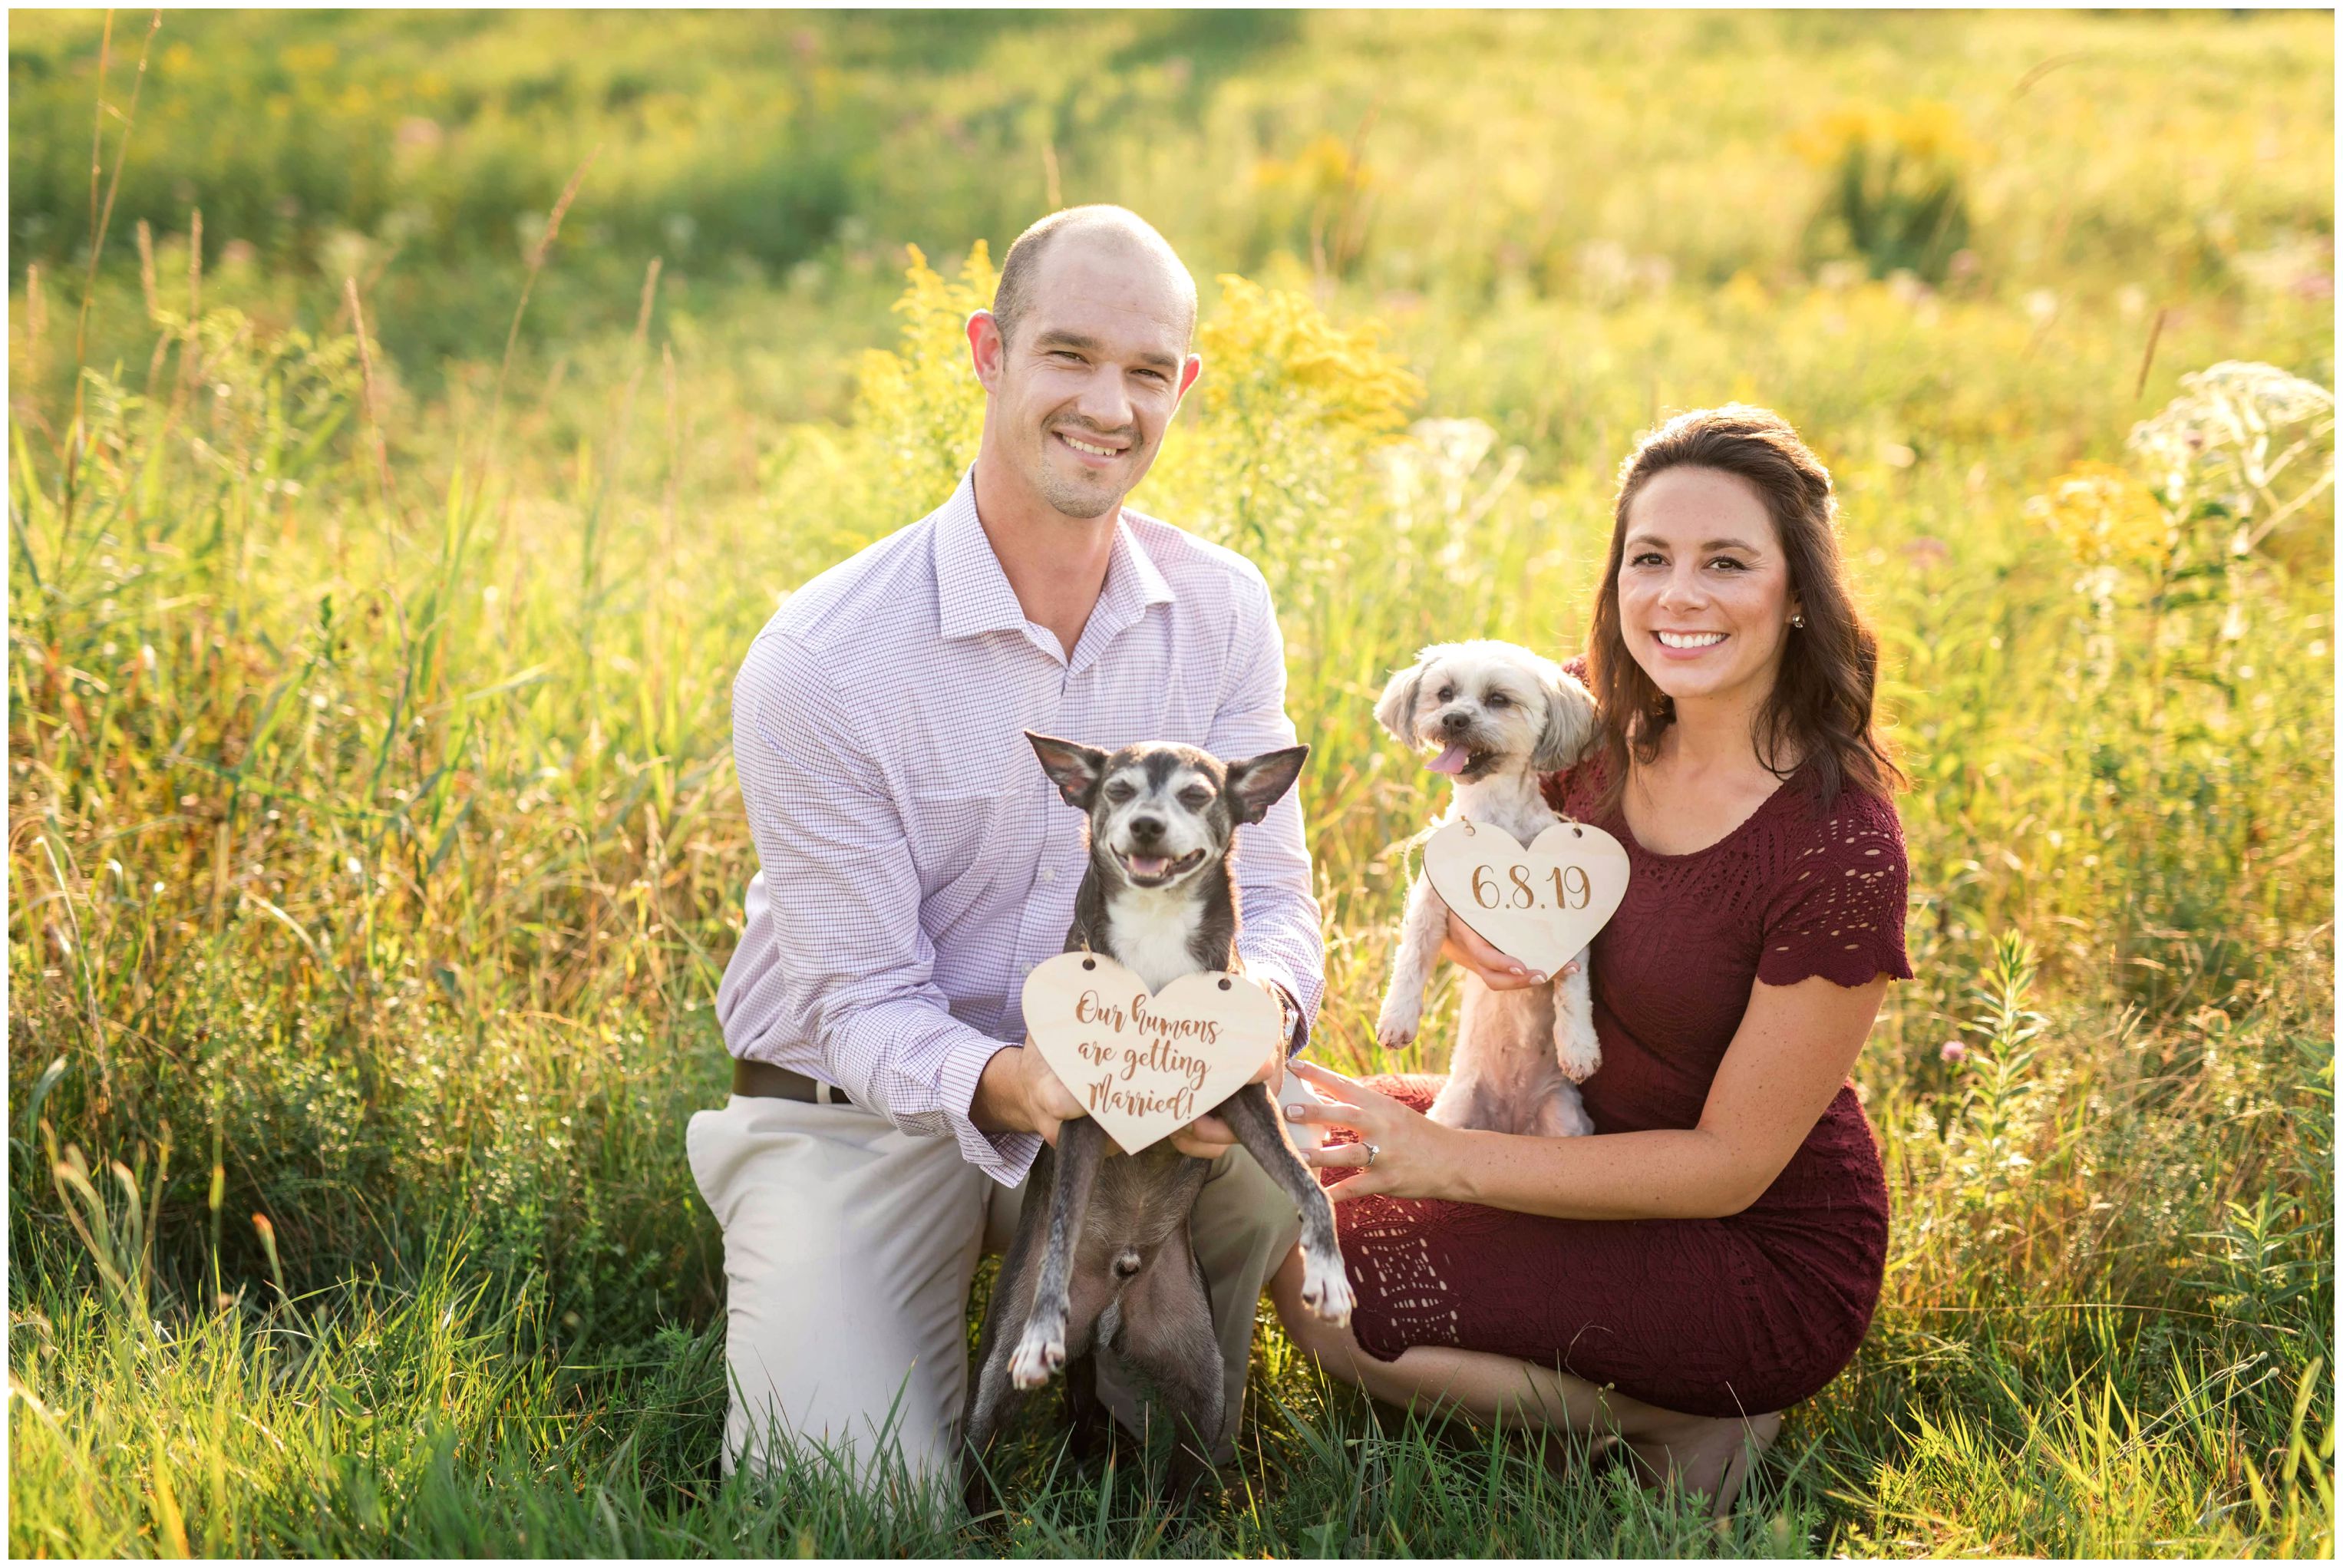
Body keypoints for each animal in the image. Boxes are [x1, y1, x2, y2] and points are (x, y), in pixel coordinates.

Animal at [1378, 637, 1602, 1139]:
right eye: (1444, 693)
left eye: (1498, 699)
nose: (1454, 719)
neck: (1494, 817)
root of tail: (1510, 1122)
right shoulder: (1429, 905)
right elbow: (1411, 959)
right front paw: (1397, 1020)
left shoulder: (1568, 915)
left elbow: (1574, 987)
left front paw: (1579, 1047)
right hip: (1455, 1112)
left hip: (1562, 1119)